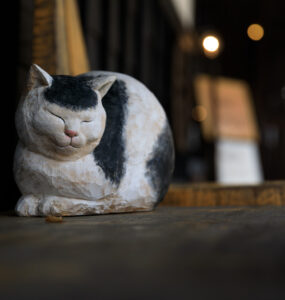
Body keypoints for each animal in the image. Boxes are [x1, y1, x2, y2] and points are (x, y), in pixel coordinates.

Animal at [14, 65, 174, 216]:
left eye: (86, 121)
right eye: (56, 116)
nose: (71, 133)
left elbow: (96, 199)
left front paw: (52, 202)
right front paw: (29, 202)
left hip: (142, 182)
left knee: (121, 202)